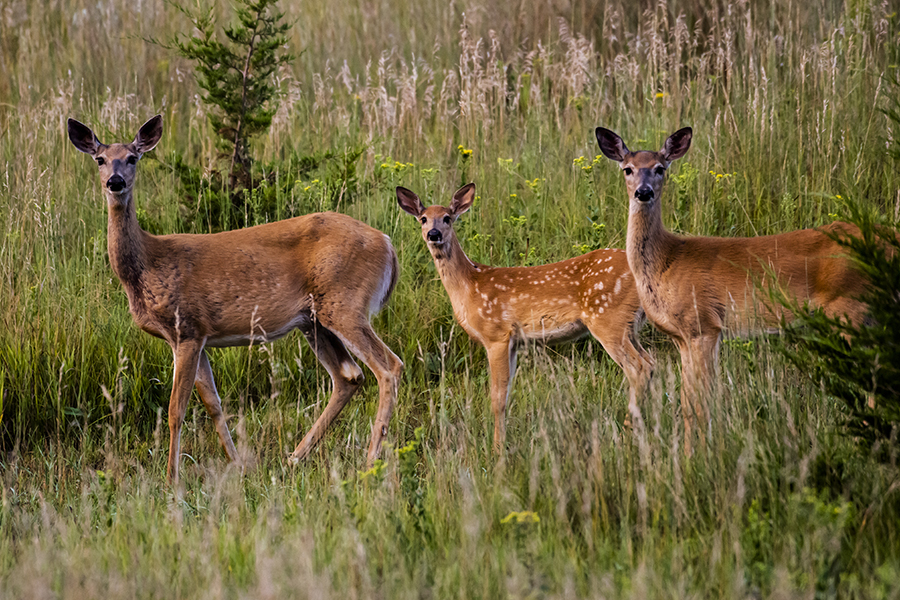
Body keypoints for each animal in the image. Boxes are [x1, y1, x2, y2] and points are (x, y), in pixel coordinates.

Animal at [70, 115, 404, 486]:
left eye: (132, 158)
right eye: (100, 159)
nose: (114, 182)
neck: (148, 263)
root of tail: (387, 243)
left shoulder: (187, 327)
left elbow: (176, 409)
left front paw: (171, 479)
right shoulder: (194, 336)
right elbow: (213, 403)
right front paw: (239, 464)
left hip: (346, 304)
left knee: (389, 367)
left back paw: (369, 462)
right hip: (313, 319)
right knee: (348, 376)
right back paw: (294, 458)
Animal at [398, 183, 652, 450]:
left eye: (447, 217)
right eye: (423, 219)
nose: (433, 233)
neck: (469, 287)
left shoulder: (496, 335)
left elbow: (497, 398)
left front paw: (497, 449)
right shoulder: (513, 343)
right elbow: (507, 393)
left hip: (608, 319)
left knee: (639, 368)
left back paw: (627, 433)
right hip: (628, 325)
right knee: (650, 363)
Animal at [596, 127, 868, 454]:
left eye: (660, 168)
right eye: (628, 169)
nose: (643, 192)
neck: (666, 259)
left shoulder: (703, 325)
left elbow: (700, 402)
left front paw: (698, 456)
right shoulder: (682, 337)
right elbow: (690, 401)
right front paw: (692, 451)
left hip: (848, 310)